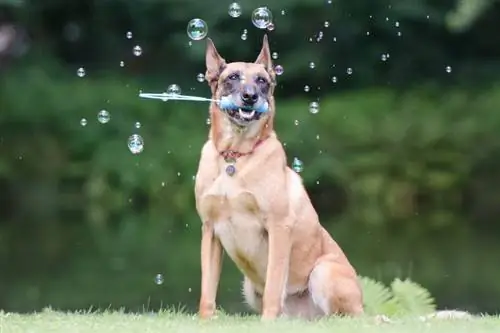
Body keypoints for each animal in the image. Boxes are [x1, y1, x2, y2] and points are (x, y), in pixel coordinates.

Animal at [193, 33, 362, 320]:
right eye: (233, 77)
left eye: (262, 80)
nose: (250, 96)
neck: (235, 157)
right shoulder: (210, 230)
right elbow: (207, 291)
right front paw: (205, 321)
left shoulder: (278, 227)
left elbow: (274, 284)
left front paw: (267, 321)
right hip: (249, 287)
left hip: (323, 272)